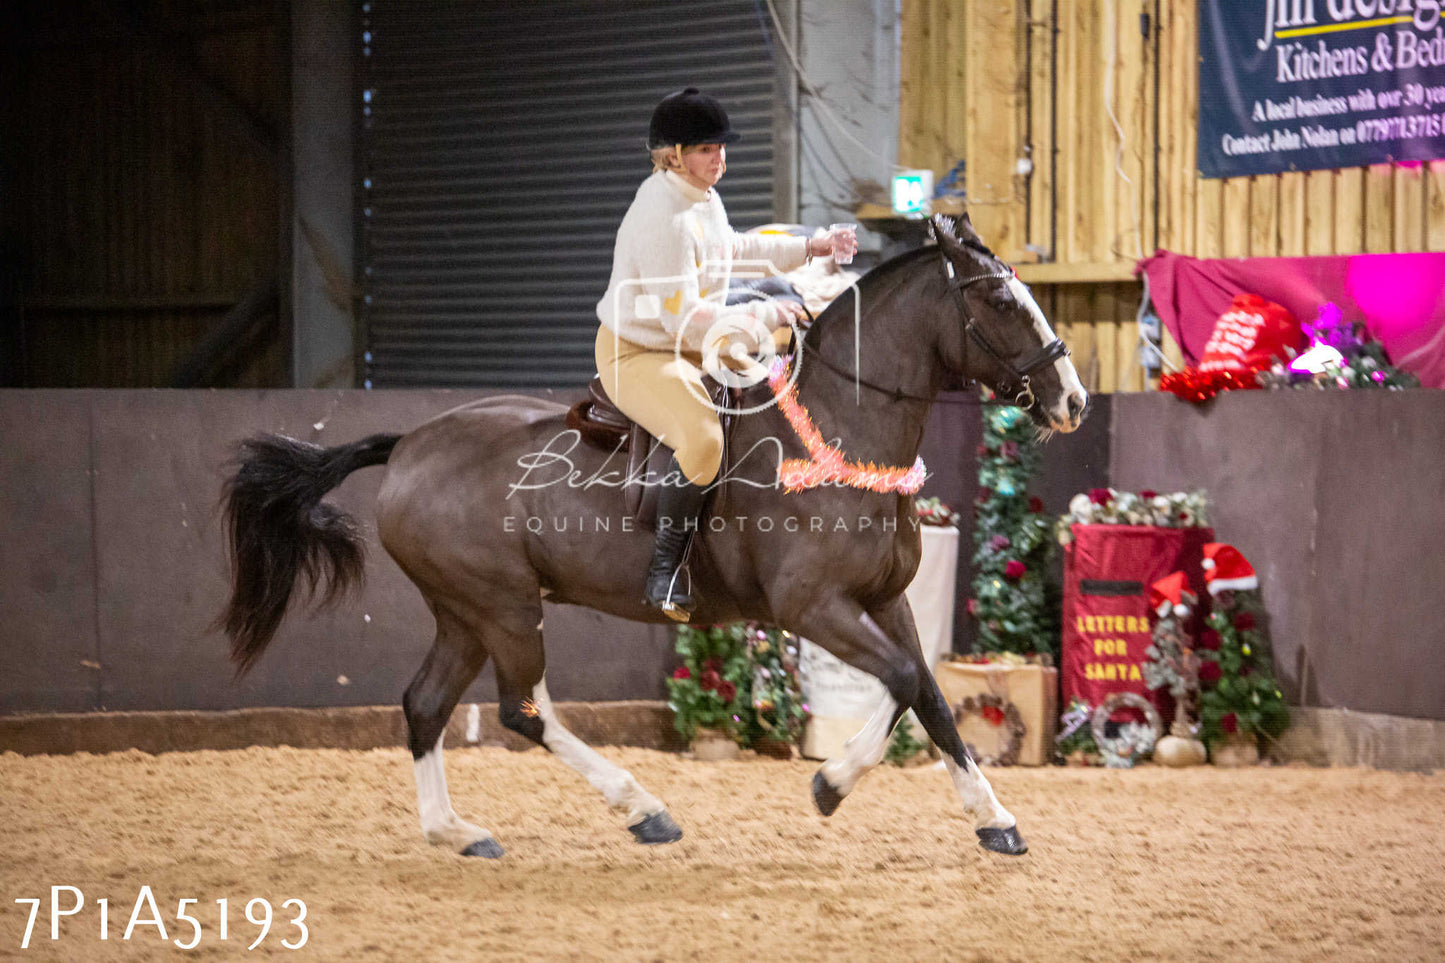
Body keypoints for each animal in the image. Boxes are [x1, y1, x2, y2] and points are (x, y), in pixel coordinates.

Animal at [222, 215, 1086, 856]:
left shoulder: (885, 600)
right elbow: (903, 681)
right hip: (502, 606)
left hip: (464, 612)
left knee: (428, 703)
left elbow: (929, 694)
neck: (839, 424)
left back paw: (456, 830)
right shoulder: (814, 608)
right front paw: (829, 783)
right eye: (1000, 301)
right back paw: (640, 807)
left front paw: (994, 818)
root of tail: (406, 445)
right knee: (519, 710)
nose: (1072, 398)